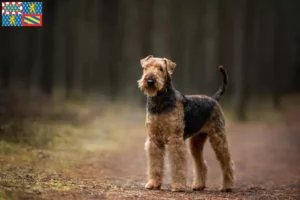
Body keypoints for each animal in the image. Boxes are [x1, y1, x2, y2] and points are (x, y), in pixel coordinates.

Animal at [138, 55, 234, 192]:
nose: (150, 81)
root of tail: (214, 99)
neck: (160, 101)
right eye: (146, 67)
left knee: (227, 162)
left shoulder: (175, 140)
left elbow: (178, 165)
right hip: (196, 142)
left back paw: (227, 186)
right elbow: (155, 164)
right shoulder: (154, 140)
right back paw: (199, 185)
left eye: (161, 68)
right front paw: (153, 183)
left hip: (218, 138)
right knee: (201, 164)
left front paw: (178, 185)